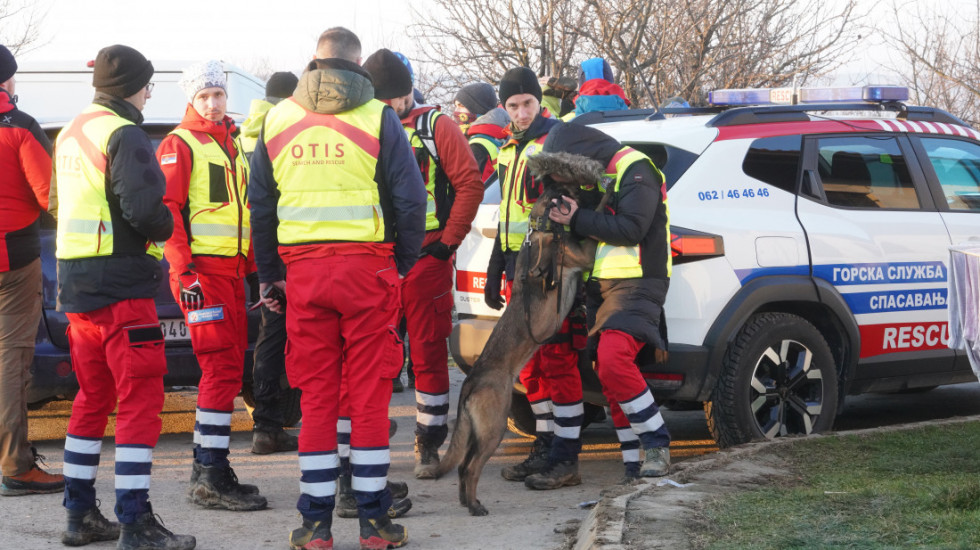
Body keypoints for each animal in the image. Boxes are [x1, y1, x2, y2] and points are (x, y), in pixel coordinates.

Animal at [424, 150, 612, 516]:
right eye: (577, 189)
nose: (596, 185)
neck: (544, 228)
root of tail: (469, 383)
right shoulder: (582, 255)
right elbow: (594, 228)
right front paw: (607, 197)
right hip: (494, 427)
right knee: (470, 466)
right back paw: (475, 506)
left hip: (478, 430)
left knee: (463, 466)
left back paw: (468, 502)